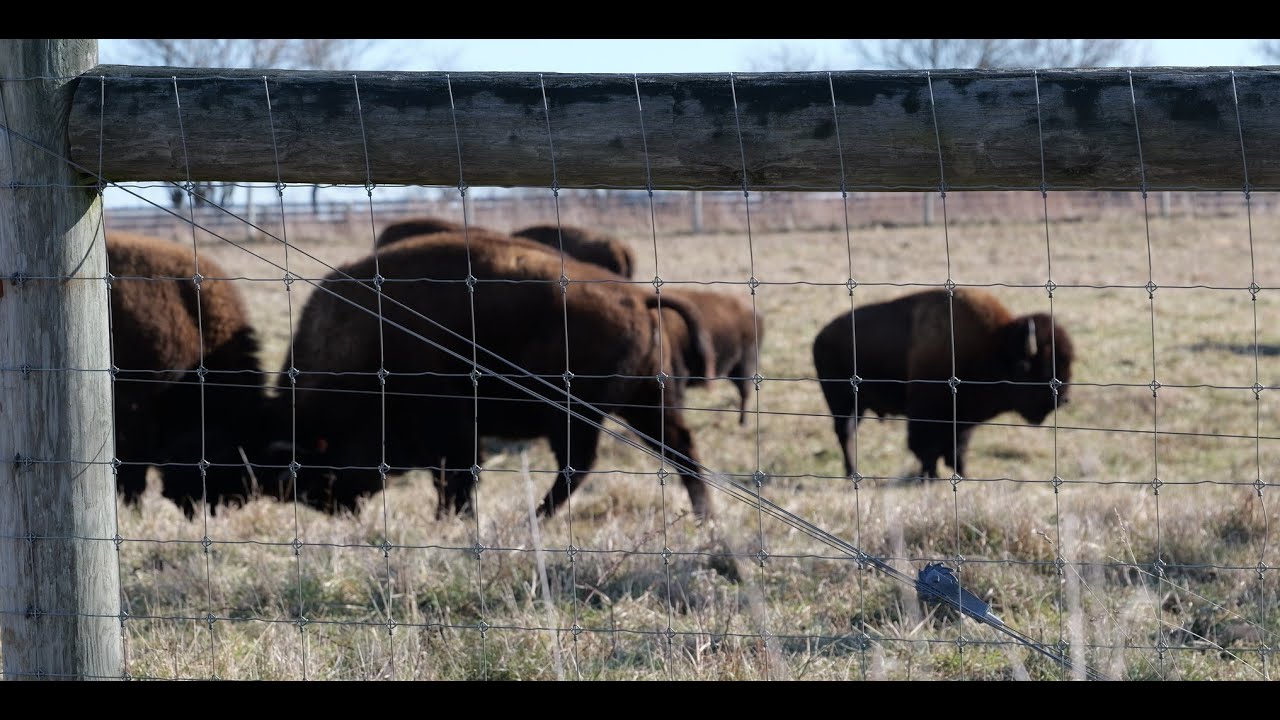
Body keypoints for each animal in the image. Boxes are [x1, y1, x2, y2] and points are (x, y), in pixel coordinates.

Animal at [812, 288, 1074, 480]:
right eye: (1038, 369)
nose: (1063, 399)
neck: (994, 346)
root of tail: (820, 337)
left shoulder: (963, 419)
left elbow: (956, 448)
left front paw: (962, 474)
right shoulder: (927, 414)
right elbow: (926, 447)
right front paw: (930, 477)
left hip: (858, 405)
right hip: (843, 401)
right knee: (845, 434)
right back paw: (850, 473)